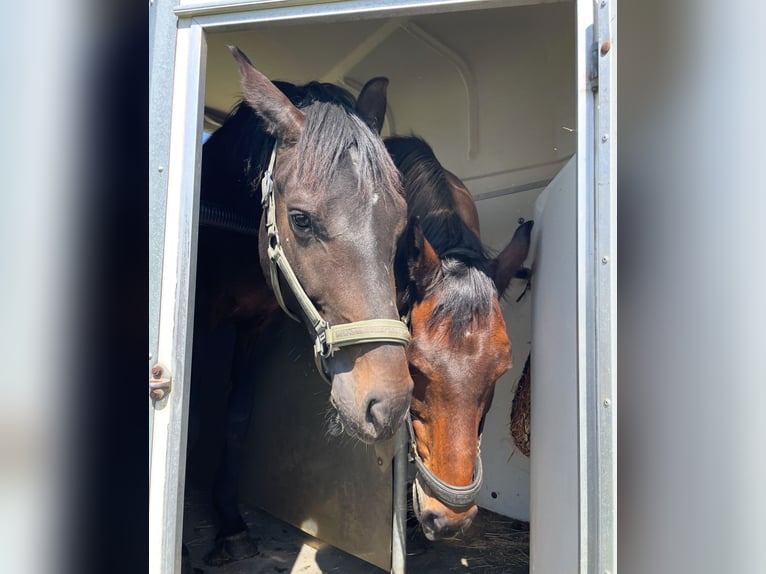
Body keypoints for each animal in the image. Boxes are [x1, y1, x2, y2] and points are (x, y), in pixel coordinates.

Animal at [187, 46, 413, 566]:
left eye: (401, 220)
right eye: (301, 219)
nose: (388, 404)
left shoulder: (255, 329)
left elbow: (237, 419)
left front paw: (230, 523)